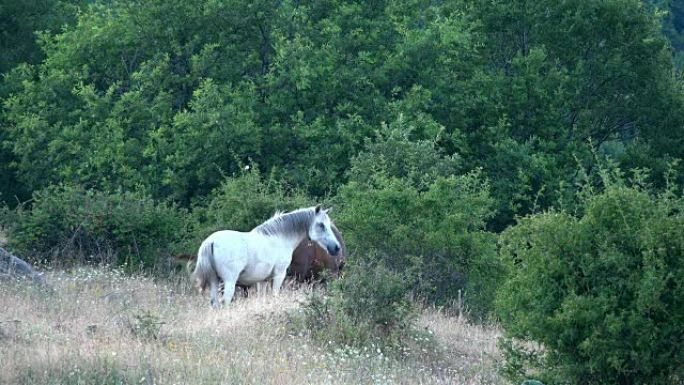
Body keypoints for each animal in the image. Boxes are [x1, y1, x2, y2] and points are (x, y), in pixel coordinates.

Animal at [192, 206, 340, 308]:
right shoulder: (279, 275)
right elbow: (274, 295)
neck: (280, 238)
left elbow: (261, 298)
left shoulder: (262, 280)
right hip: (229, 281)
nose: (336, 248)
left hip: (214, 281)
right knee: (226, 301)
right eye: (321, 225)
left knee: (214, 303)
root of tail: (211, 241)